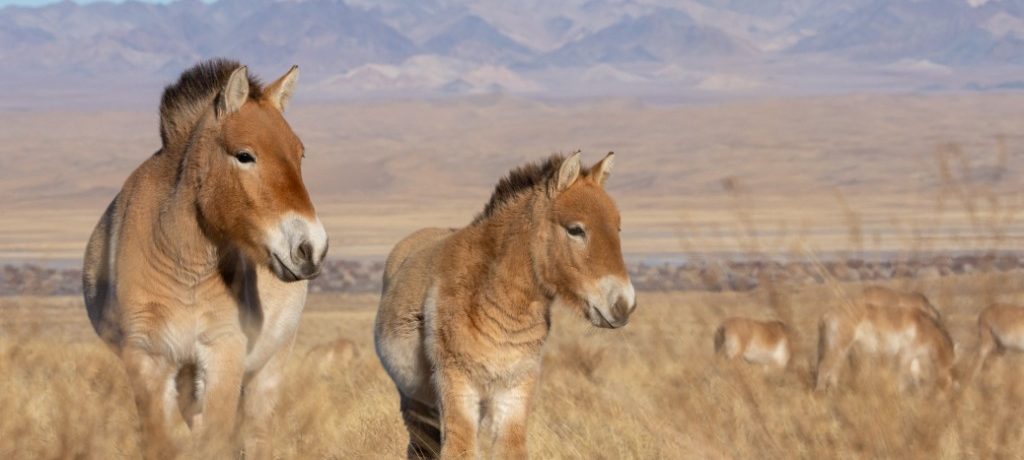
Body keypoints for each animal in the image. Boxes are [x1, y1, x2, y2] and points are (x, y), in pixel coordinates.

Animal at [82, 59, 327, 459]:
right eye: (244, 155)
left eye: (299, 154)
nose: (311, 248)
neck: (185, 269)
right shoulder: (147, 358)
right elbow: (163, 441)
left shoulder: (222, 353)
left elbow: (215, 439)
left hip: (269, 365)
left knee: (256, 432)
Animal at [374, 152, 636, 458]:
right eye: (575, 230)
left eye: (618, 228)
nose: (624, 305)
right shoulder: (457, 387)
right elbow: (461, 450)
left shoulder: (516, 391)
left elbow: (510, 449)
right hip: (416, 404)